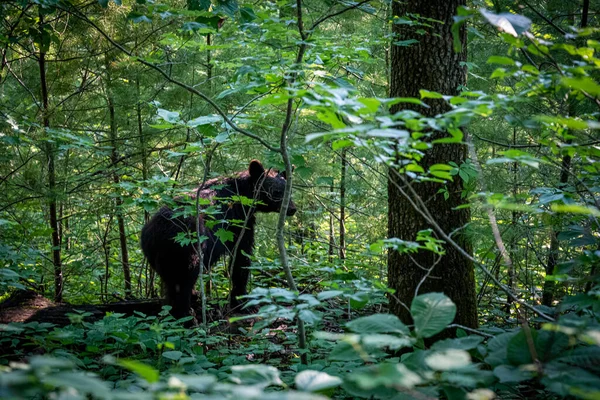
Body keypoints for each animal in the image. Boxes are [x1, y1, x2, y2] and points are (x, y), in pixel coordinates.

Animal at [143, 159, 298, 318]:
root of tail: (157, 234)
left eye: (289, 191)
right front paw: (242, 301)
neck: (243, 193)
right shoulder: (239, 221)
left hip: (158, 257)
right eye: (276, 192)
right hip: (189, 248)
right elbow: (241, 255)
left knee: (171, 282)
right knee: (184, 280)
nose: (292, 209)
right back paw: (186, 313)